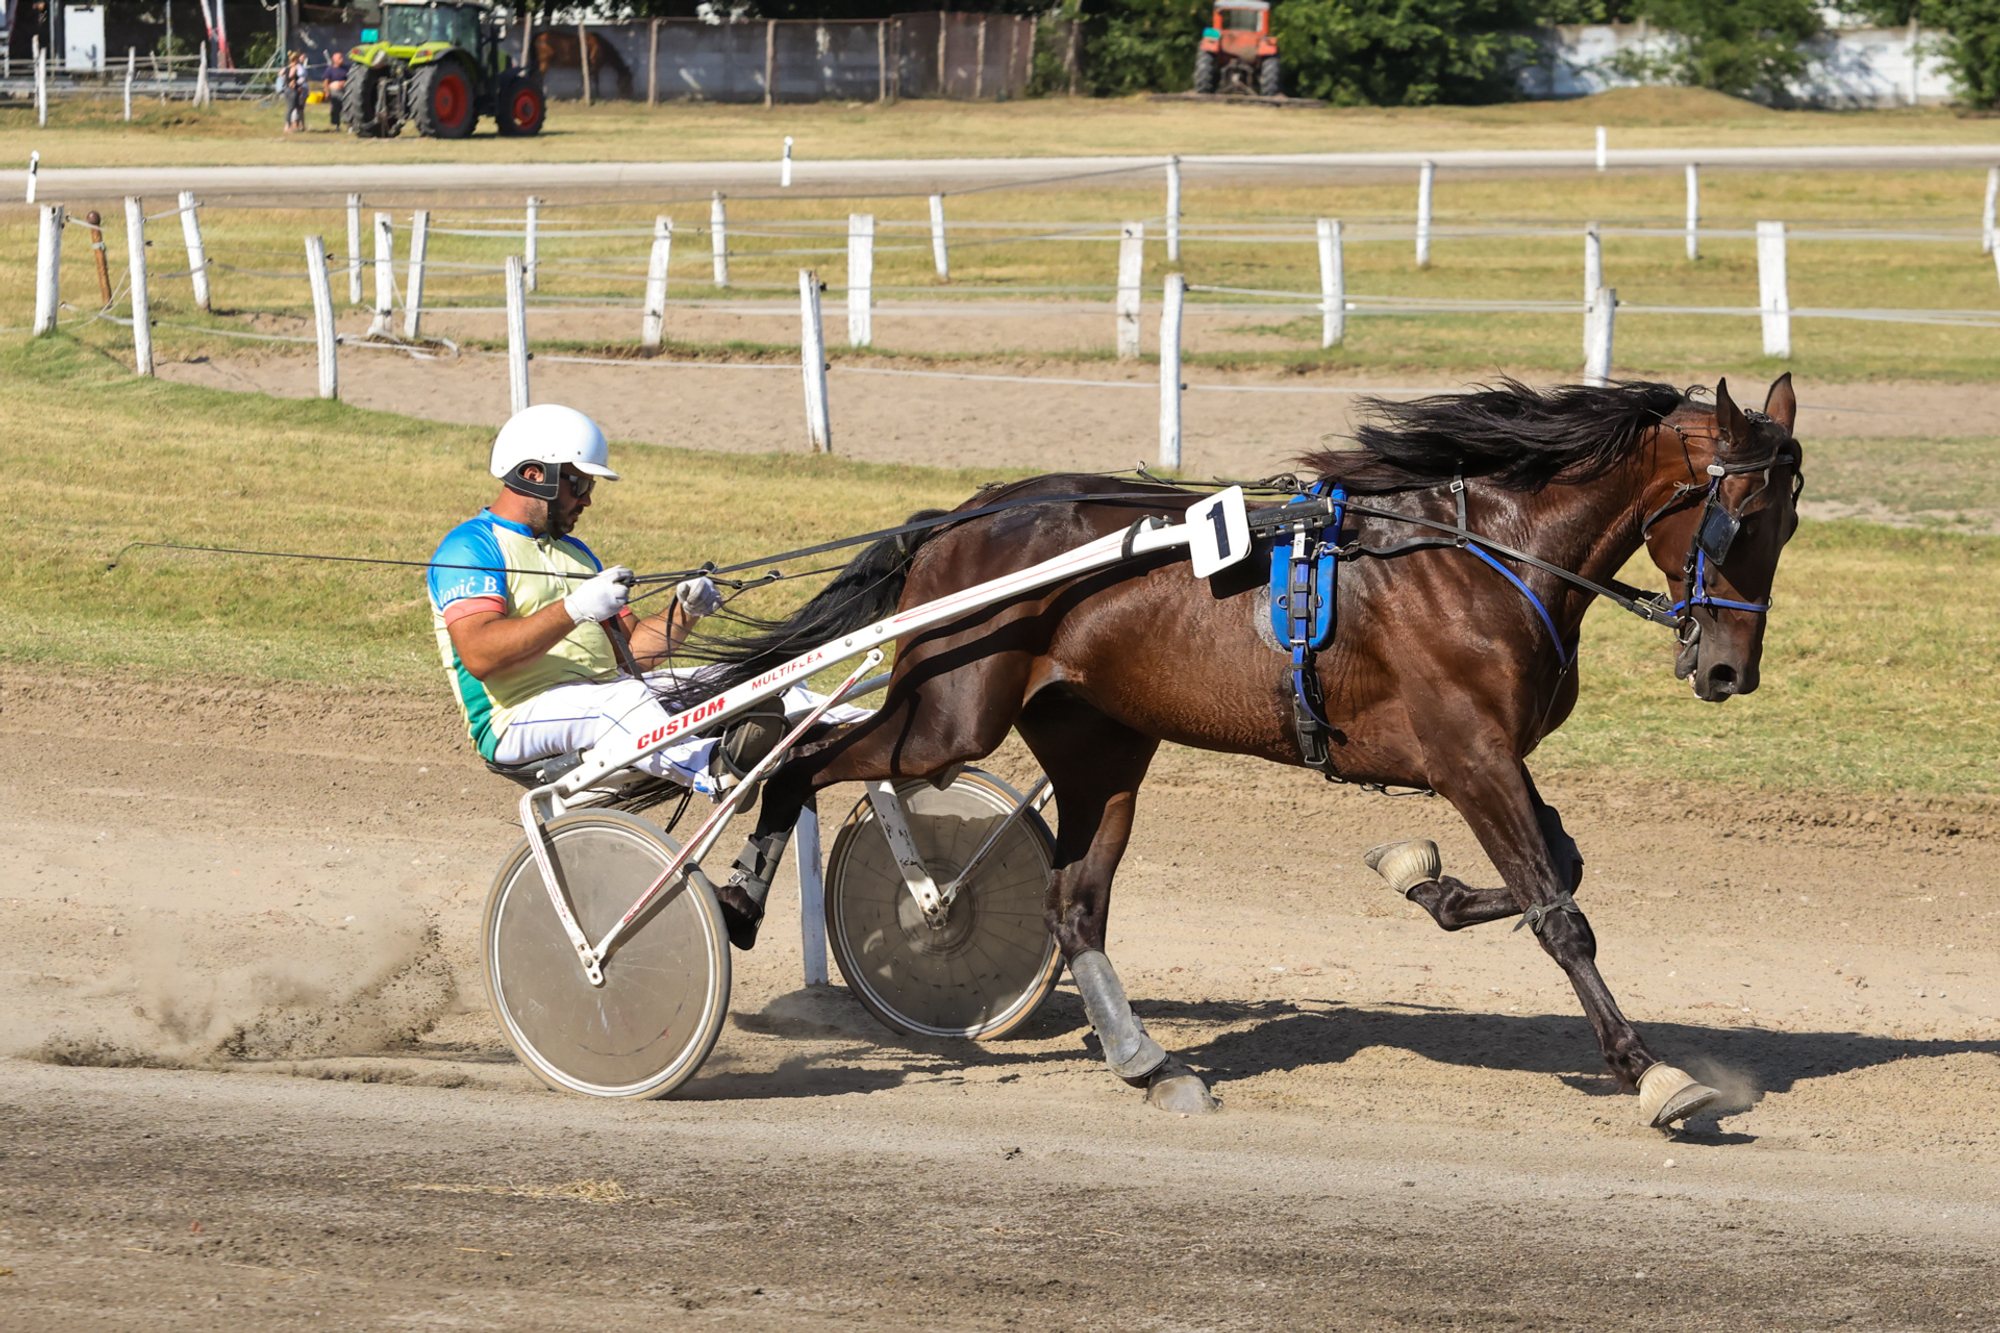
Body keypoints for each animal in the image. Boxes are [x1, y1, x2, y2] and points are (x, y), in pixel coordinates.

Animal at [683, 374, 1805, 1125]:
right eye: (1737, 514)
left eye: (1788, 522)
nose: (1727, 673)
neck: (1481, 558)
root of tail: (958, 516)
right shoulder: (1469, 756)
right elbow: (1558, 910)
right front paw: (1649, 1070)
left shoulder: (1485, 762)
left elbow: (1554, 867)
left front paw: (1421, 875)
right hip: (948, 717)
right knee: (795, 762)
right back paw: (733, 893)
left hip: (1100, 747)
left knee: (1072, 903)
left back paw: (1149, 1061)